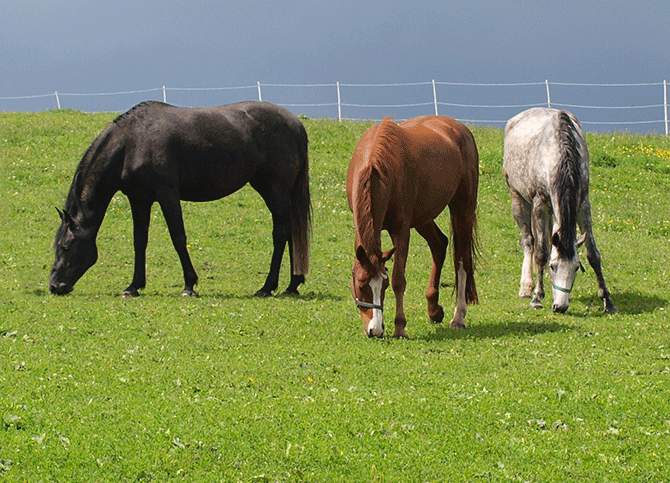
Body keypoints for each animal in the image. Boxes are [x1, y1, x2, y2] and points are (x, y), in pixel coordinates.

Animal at [50, 101, 312, 296]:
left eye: (65, 246)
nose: (54, 286)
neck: (133, 142)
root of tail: (296, 125)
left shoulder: (167, 195)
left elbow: (178, 237)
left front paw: (189, 285)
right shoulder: (139, 199)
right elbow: (139, 241)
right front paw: (134, 287)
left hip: (275, 190)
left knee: (281, 233)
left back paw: (267, 287)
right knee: (291, 232)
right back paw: (292, 284)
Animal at [350, 116, 480, 338]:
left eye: (383, 285)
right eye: (361, 284)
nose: (376, 330)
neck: (375, 166)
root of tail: (459, 128)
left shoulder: (401, 230)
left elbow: (399, 279)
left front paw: (400, 327)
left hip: (462, 211)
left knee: (461, 261)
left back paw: (458, 317)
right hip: (423, 218)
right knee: (439, 244)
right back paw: (434, 310)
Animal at [504, 107, 620, 314]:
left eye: (576, 268)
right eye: (553, 267)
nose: (560, 307)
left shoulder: (583, 204)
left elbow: (593, 254)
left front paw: (608, 301)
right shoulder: (540, 203)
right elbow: (541, 253)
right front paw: (536, 298)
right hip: (517, 197)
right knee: (528, 241)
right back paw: (526, 287)